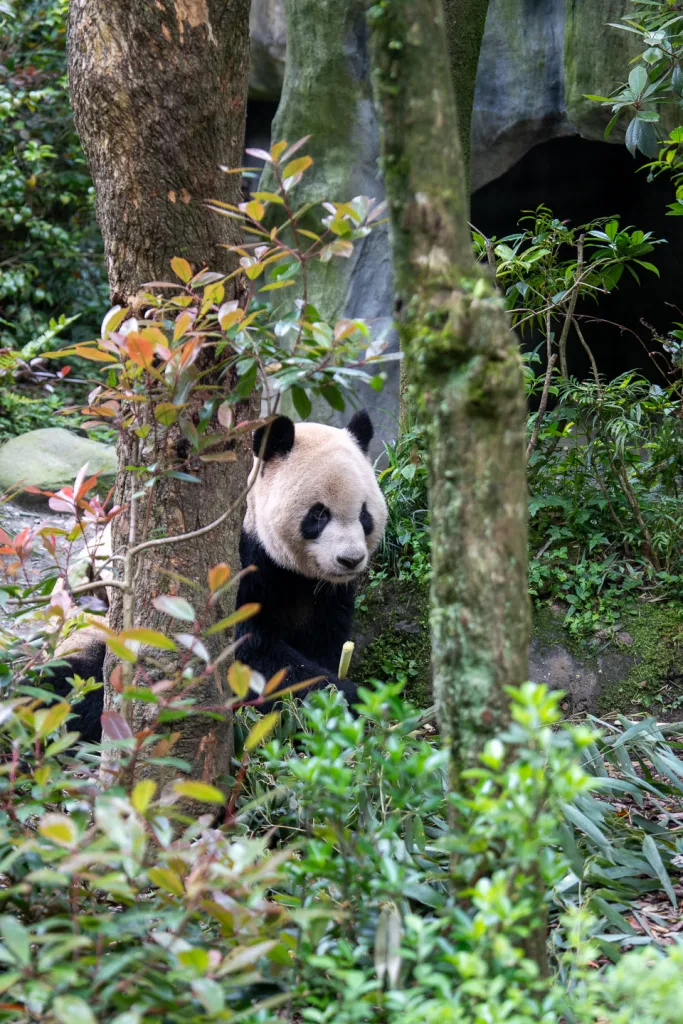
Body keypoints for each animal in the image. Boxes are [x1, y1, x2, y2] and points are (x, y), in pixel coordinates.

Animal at [41, 410, 387, 741]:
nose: (350, 560)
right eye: (319, 514)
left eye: (364, 514)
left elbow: (324, 637)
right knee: (74, 682)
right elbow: (247, 651)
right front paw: (348, 698)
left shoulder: (325, 591)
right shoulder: (236, 562)